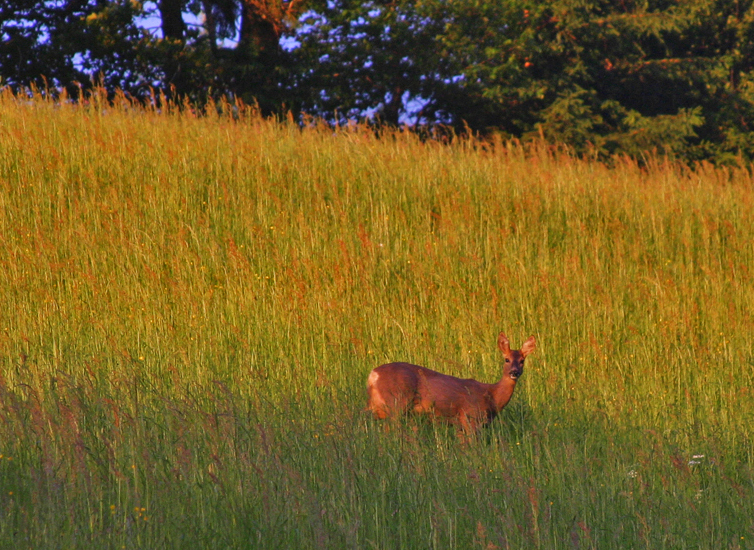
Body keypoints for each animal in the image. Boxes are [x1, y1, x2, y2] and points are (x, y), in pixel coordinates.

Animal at [366, 336, 536, 436]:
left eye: (522, 361)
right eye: (506, 359)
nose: (514, 372)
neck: (492, 396)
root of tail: (373, 375)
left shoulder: (460, 425)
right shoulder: (470, 417)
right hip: (396, 404)